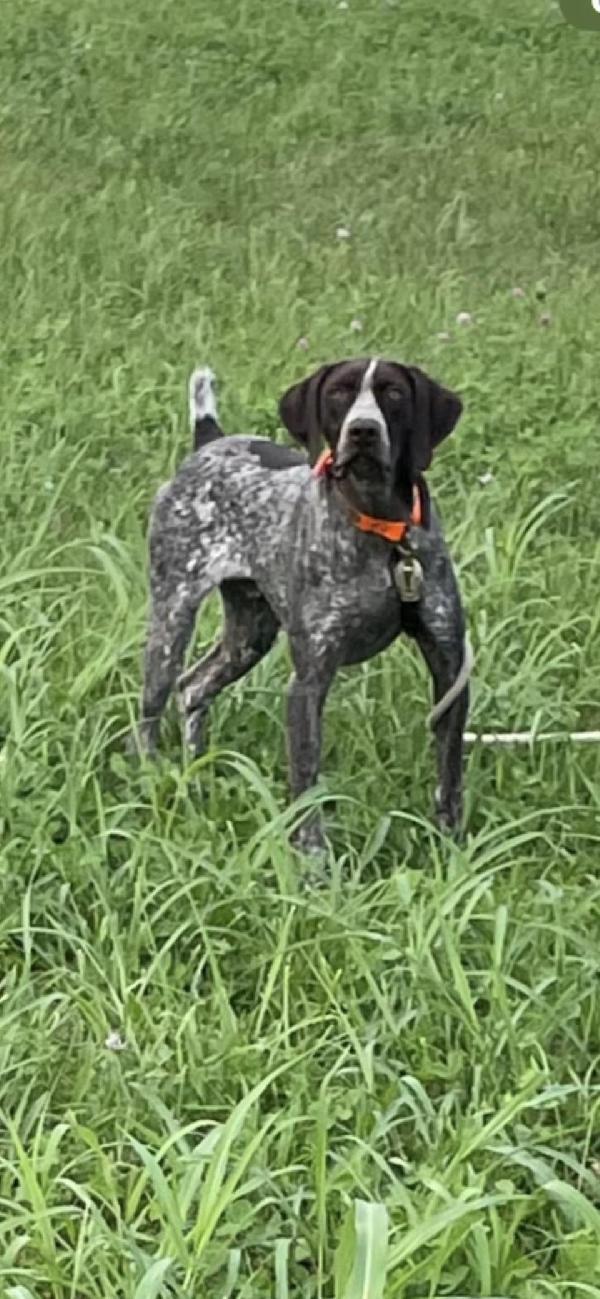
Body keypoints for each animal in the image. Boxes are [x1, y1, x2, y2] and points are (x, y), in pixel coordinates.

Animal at [133, 361, 470, 857]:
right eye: (337, 394)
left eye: (393, 393)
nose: (363, 431)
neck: (381, 528)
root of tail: (211, 441)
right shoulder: (309, 682)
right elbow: (307, 785)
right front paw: (312, 860)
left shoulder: (449, 669)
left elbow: (449, 776)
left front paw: (451, 848)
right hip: (171, 618)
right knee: (152, 710)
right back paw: (153, 776)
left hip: (249, 634)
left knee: (194, 687)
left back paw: (198, 771)